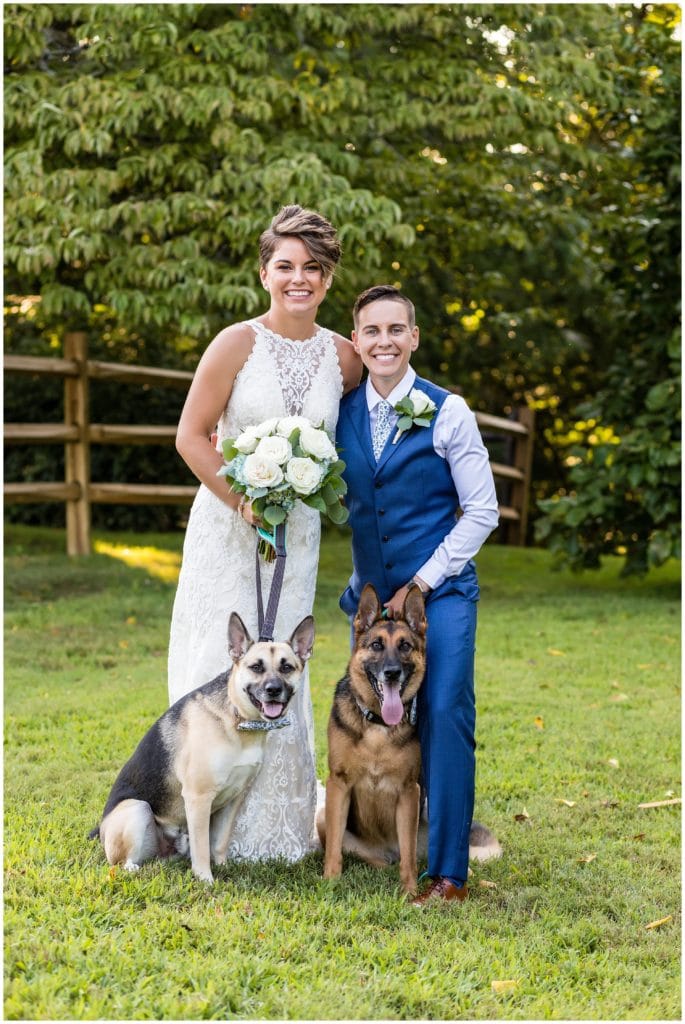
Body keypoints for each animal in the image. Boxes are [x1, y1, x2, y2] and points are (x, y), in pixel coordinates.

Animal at [90, 610, 313, 884]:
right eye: (256, 667)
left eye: (286, 667)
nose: (273, 690)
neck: (238, 719)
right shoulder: (198, 798)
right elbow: (202, 846)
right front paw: (206, 879)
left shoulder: (234, 798)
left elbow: (218, 842)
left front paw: (223, 866)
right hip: (137, 809)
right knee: (121, 862)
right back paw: (134, 869)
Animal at [317, 585, 499, 897]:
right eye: (376, 645)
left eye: (405, 646)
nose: (392, 672)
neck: (378, 725)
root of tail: (386, 849)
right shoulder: (338, 784)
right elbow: (333, 852)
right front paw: (331, 881)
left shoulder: (408, 791)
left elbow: (410, 857)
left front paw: (410, 891)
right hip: (323, 816)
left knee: (412, 855)